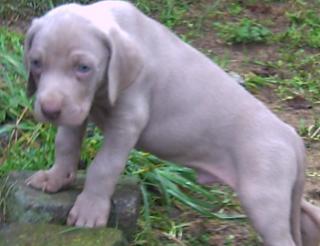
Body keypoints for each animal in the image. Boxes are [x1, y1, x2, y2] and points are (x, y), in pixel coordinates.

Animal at [23, 0, 320, 245]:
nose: (49, 110)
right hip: (282, 194)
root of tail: (291, 135)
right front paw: (55, 178)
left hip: (262, 197)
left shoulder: (127, 121)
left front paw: (90, 210)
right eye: (36, 63)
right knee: (304, 217)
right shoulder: (77, 110)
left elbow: (104, 167)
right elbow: (65, 144)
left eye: (84, 68)